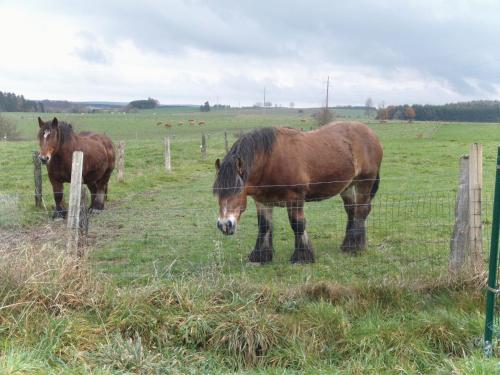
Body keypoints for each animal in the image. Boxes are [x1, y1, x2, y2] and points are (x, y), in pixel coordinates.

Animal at [214, 122, 382, 264]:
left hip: (364, 182)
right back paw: (347, 244)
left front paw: (302, 257)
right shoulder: (262, 201)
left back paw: (355, 247)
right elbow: (264, 225)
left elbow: (297, 224)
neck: (270, 161)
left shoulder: (295, 198)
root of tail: (371, 133)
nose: (224, 225)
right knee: (351, 210)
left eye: (237, 190)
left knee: (361, 210)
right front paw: (261, 256)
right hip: (347, 186)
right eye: (217, 193)